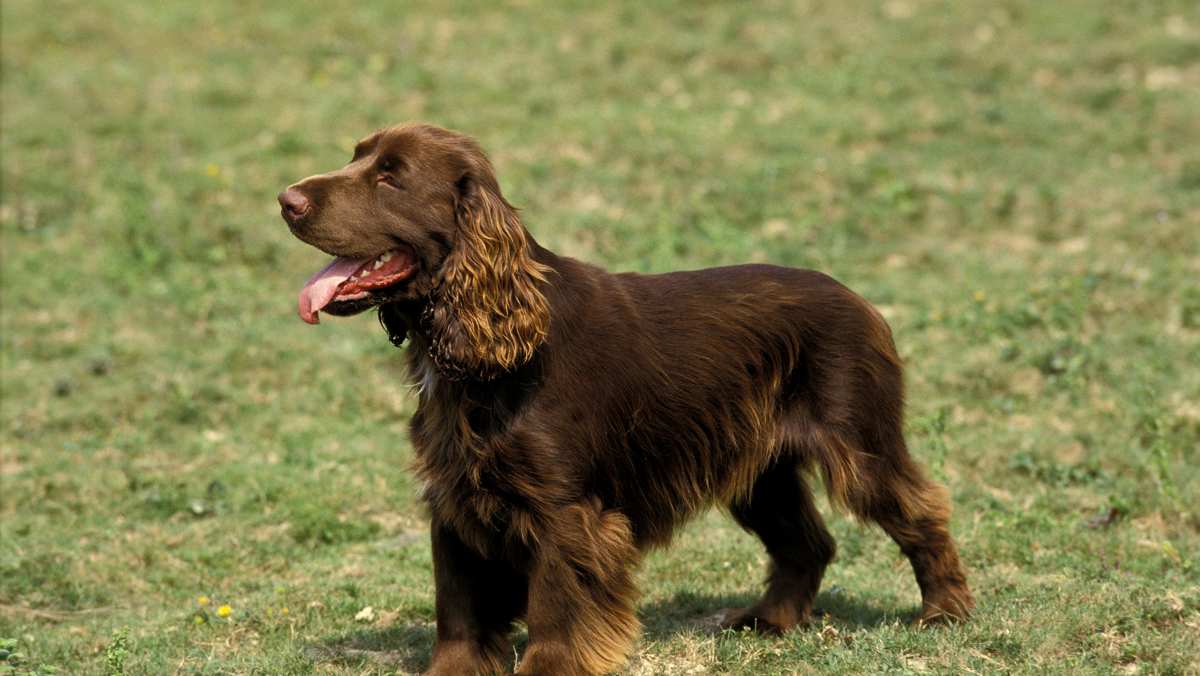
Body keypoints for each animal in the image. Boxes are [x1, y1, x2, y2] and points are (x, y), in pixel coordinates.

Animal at [276, 124, 969, 672]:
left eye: (390, 176)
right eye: (357, 157)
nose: (286, 200)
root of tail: (863, 302)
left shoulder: (566, 510)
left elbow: (556, 604)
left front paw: (548, 668)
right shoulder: (454, 496)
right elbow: (460, 609)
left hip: (858, 442)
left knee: (922, 510)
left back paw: (944, 613)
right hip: (758, 470)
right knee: (808, 541)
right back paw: (769, 621)